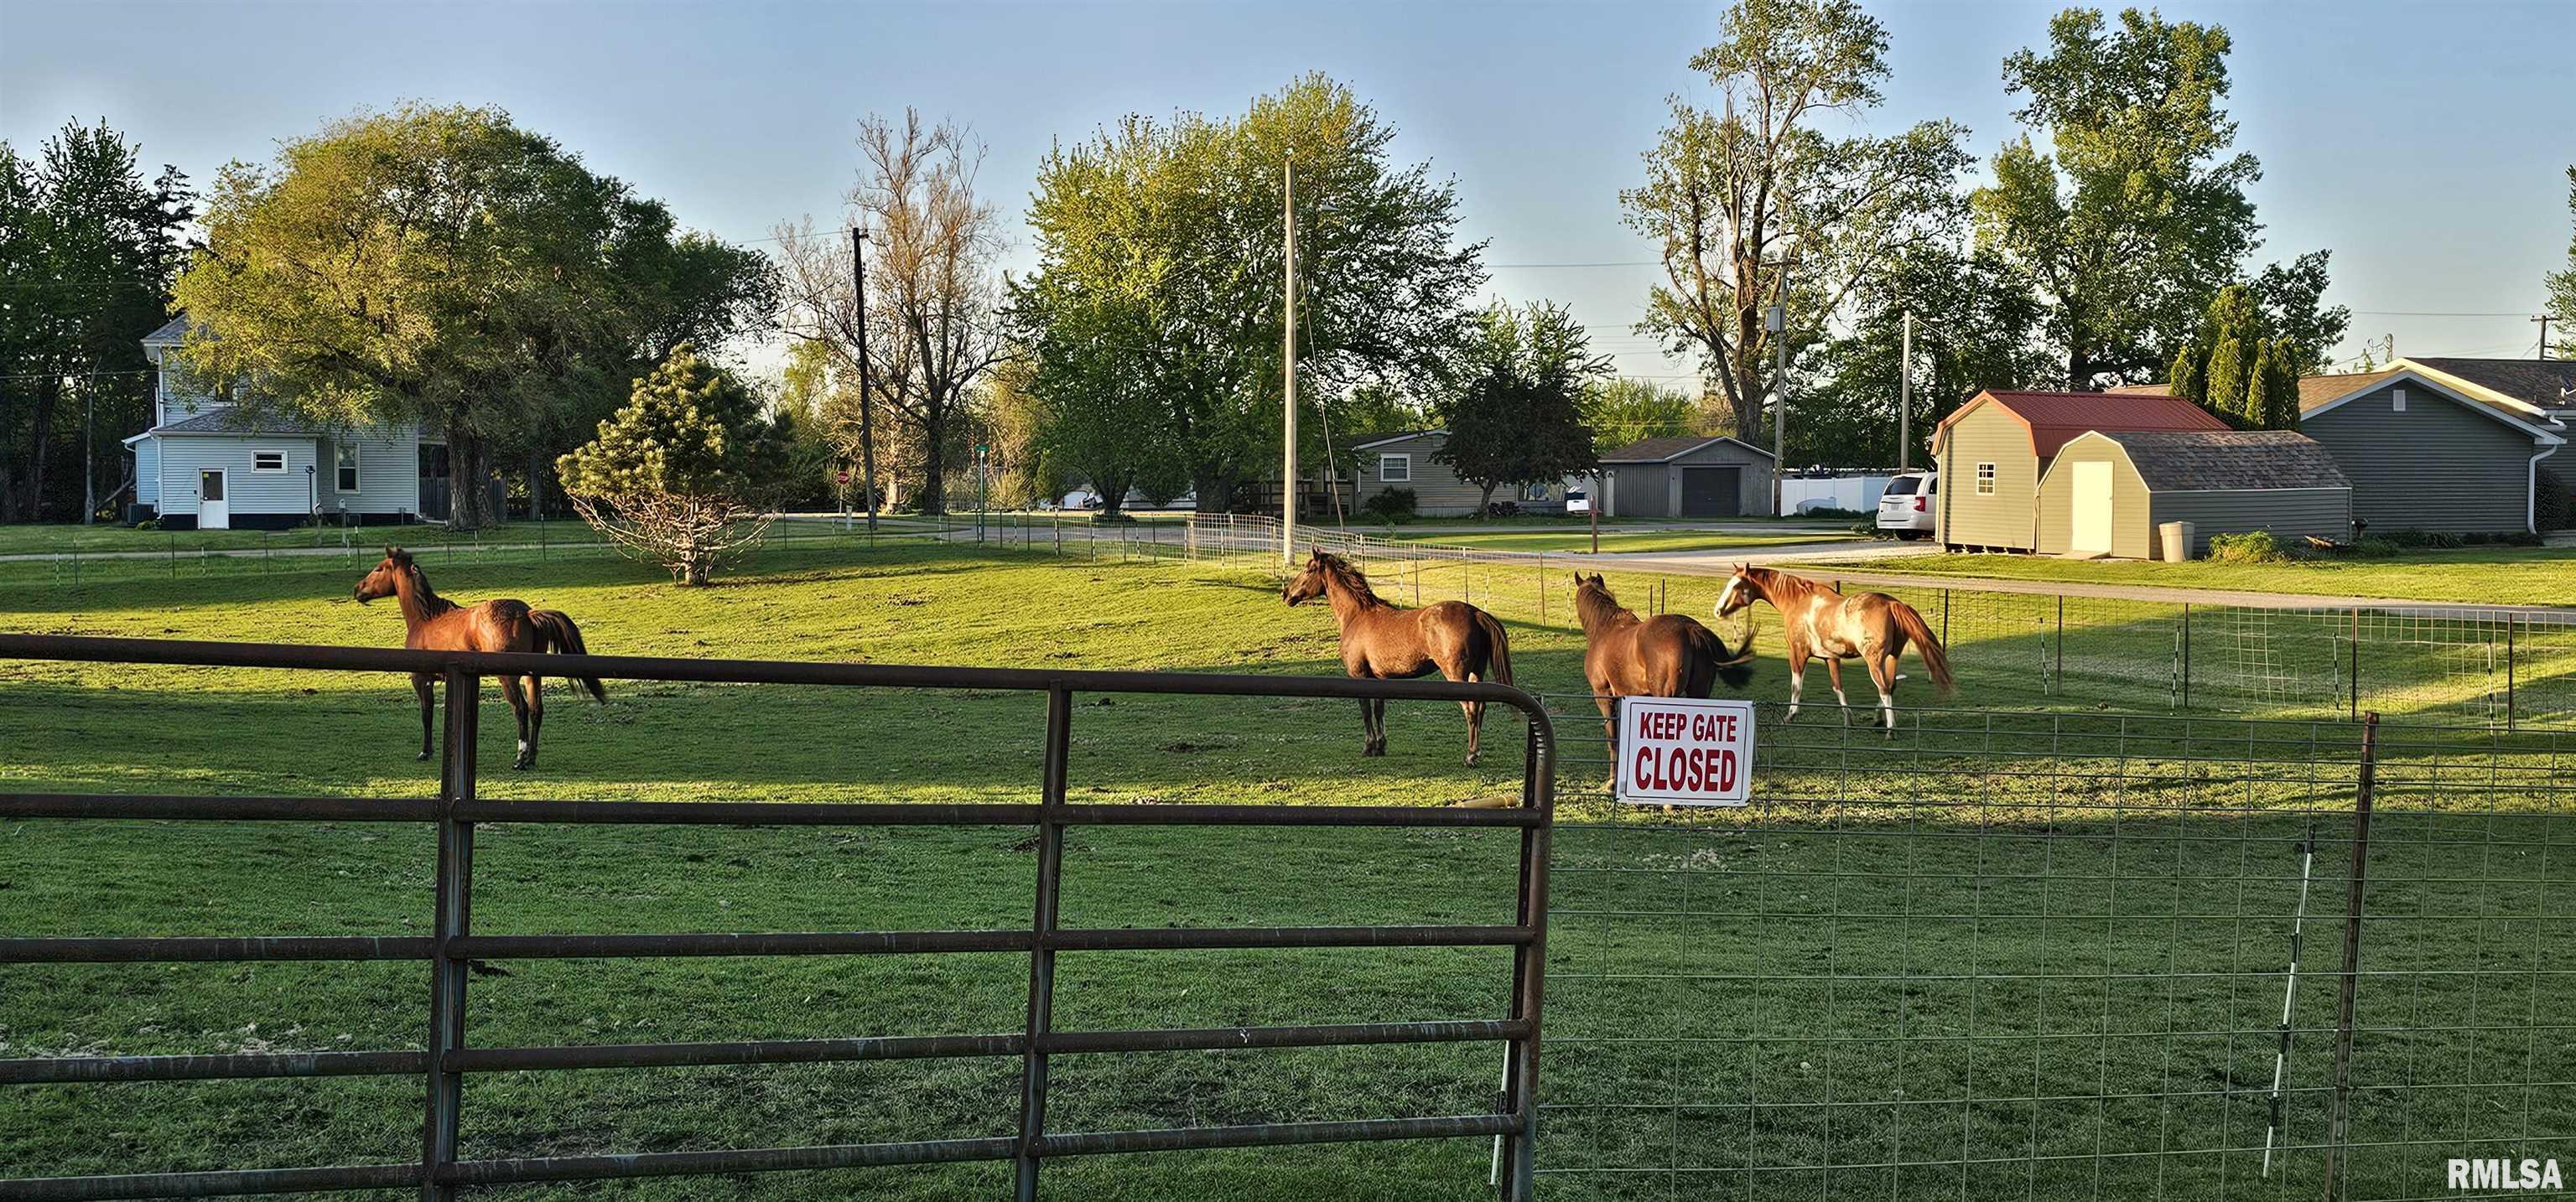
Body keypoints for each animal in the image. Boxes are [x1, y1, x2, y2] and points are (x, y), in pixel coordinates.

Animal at [352, 548, 602, 772]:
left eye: (378, 568)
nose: (357, 590)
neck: (425, 619)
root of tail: (526, 614)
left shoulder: (422, 679)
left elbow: (426, 713)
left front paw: (425, 752)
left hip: (509, 679)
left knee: (521, 709)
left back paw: (520, 760)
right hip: (533, 677)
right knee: (536, 710)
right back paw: (531, 758)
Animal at [1282, 551, 1504, 767]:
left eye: (1308, 570)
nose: (1286, 594)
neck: (1357, 615)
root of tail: (1475, 613)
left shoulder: (1358, 676)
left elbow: (1365, 710)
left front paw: (1368, 747)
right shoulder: (1380, 678)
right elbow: (1379, 710)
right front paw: (1380, 746)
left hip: (1457, 676)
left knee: (1471, 709)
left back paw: (1471, 756)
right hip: (1476, 673)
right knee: (1481, 707)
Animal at [1710, 566, 1947, 736]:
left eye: (1737, 585)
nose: (1718, 611)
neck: (1797, 601)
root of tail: (1892, 604)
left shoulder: (1797, 653)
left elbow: (1796, 686)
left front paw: (1790, 716)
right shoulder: (1830, 658)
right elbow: (1838, 687)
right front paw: (1849, 720)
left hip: (1874, 660)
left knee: (1884, 688)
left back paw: (1890, 729)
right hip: (1892, 657)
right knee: (1891, 685)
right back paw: (1878, 718)